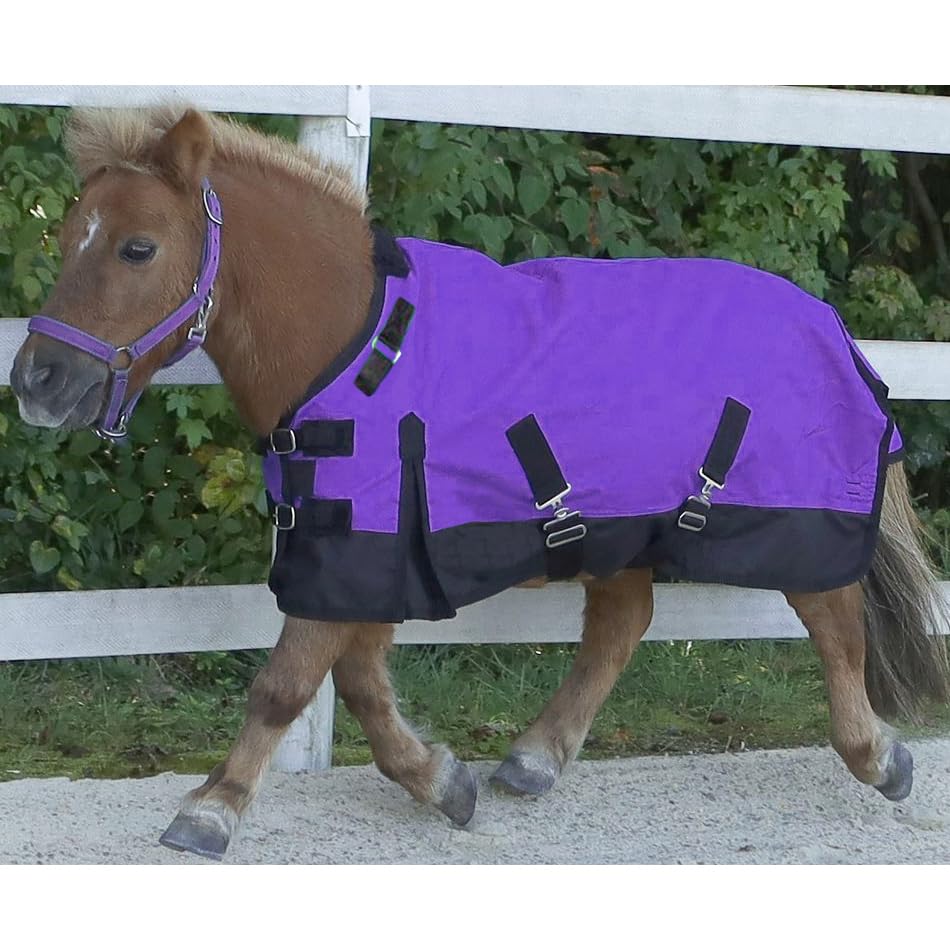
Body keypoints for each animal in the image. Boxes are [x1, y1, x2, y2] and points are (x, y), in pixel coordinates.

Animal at [9, 105, 949, 861]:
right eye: (66, 235)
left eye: (138, 247)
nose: (36, 380)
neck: (358, 345)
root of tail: (829, 324)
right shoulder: (366, 553)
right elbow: (358, 685)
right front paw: (440, 780)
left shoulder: (358, 548)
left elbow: (286, 683)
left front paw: (213, 808)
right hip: (620, 529)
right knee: (622, 626)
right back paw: (535, 758)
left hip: (795, 520)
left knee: (834, 621)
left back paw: (879, 756)